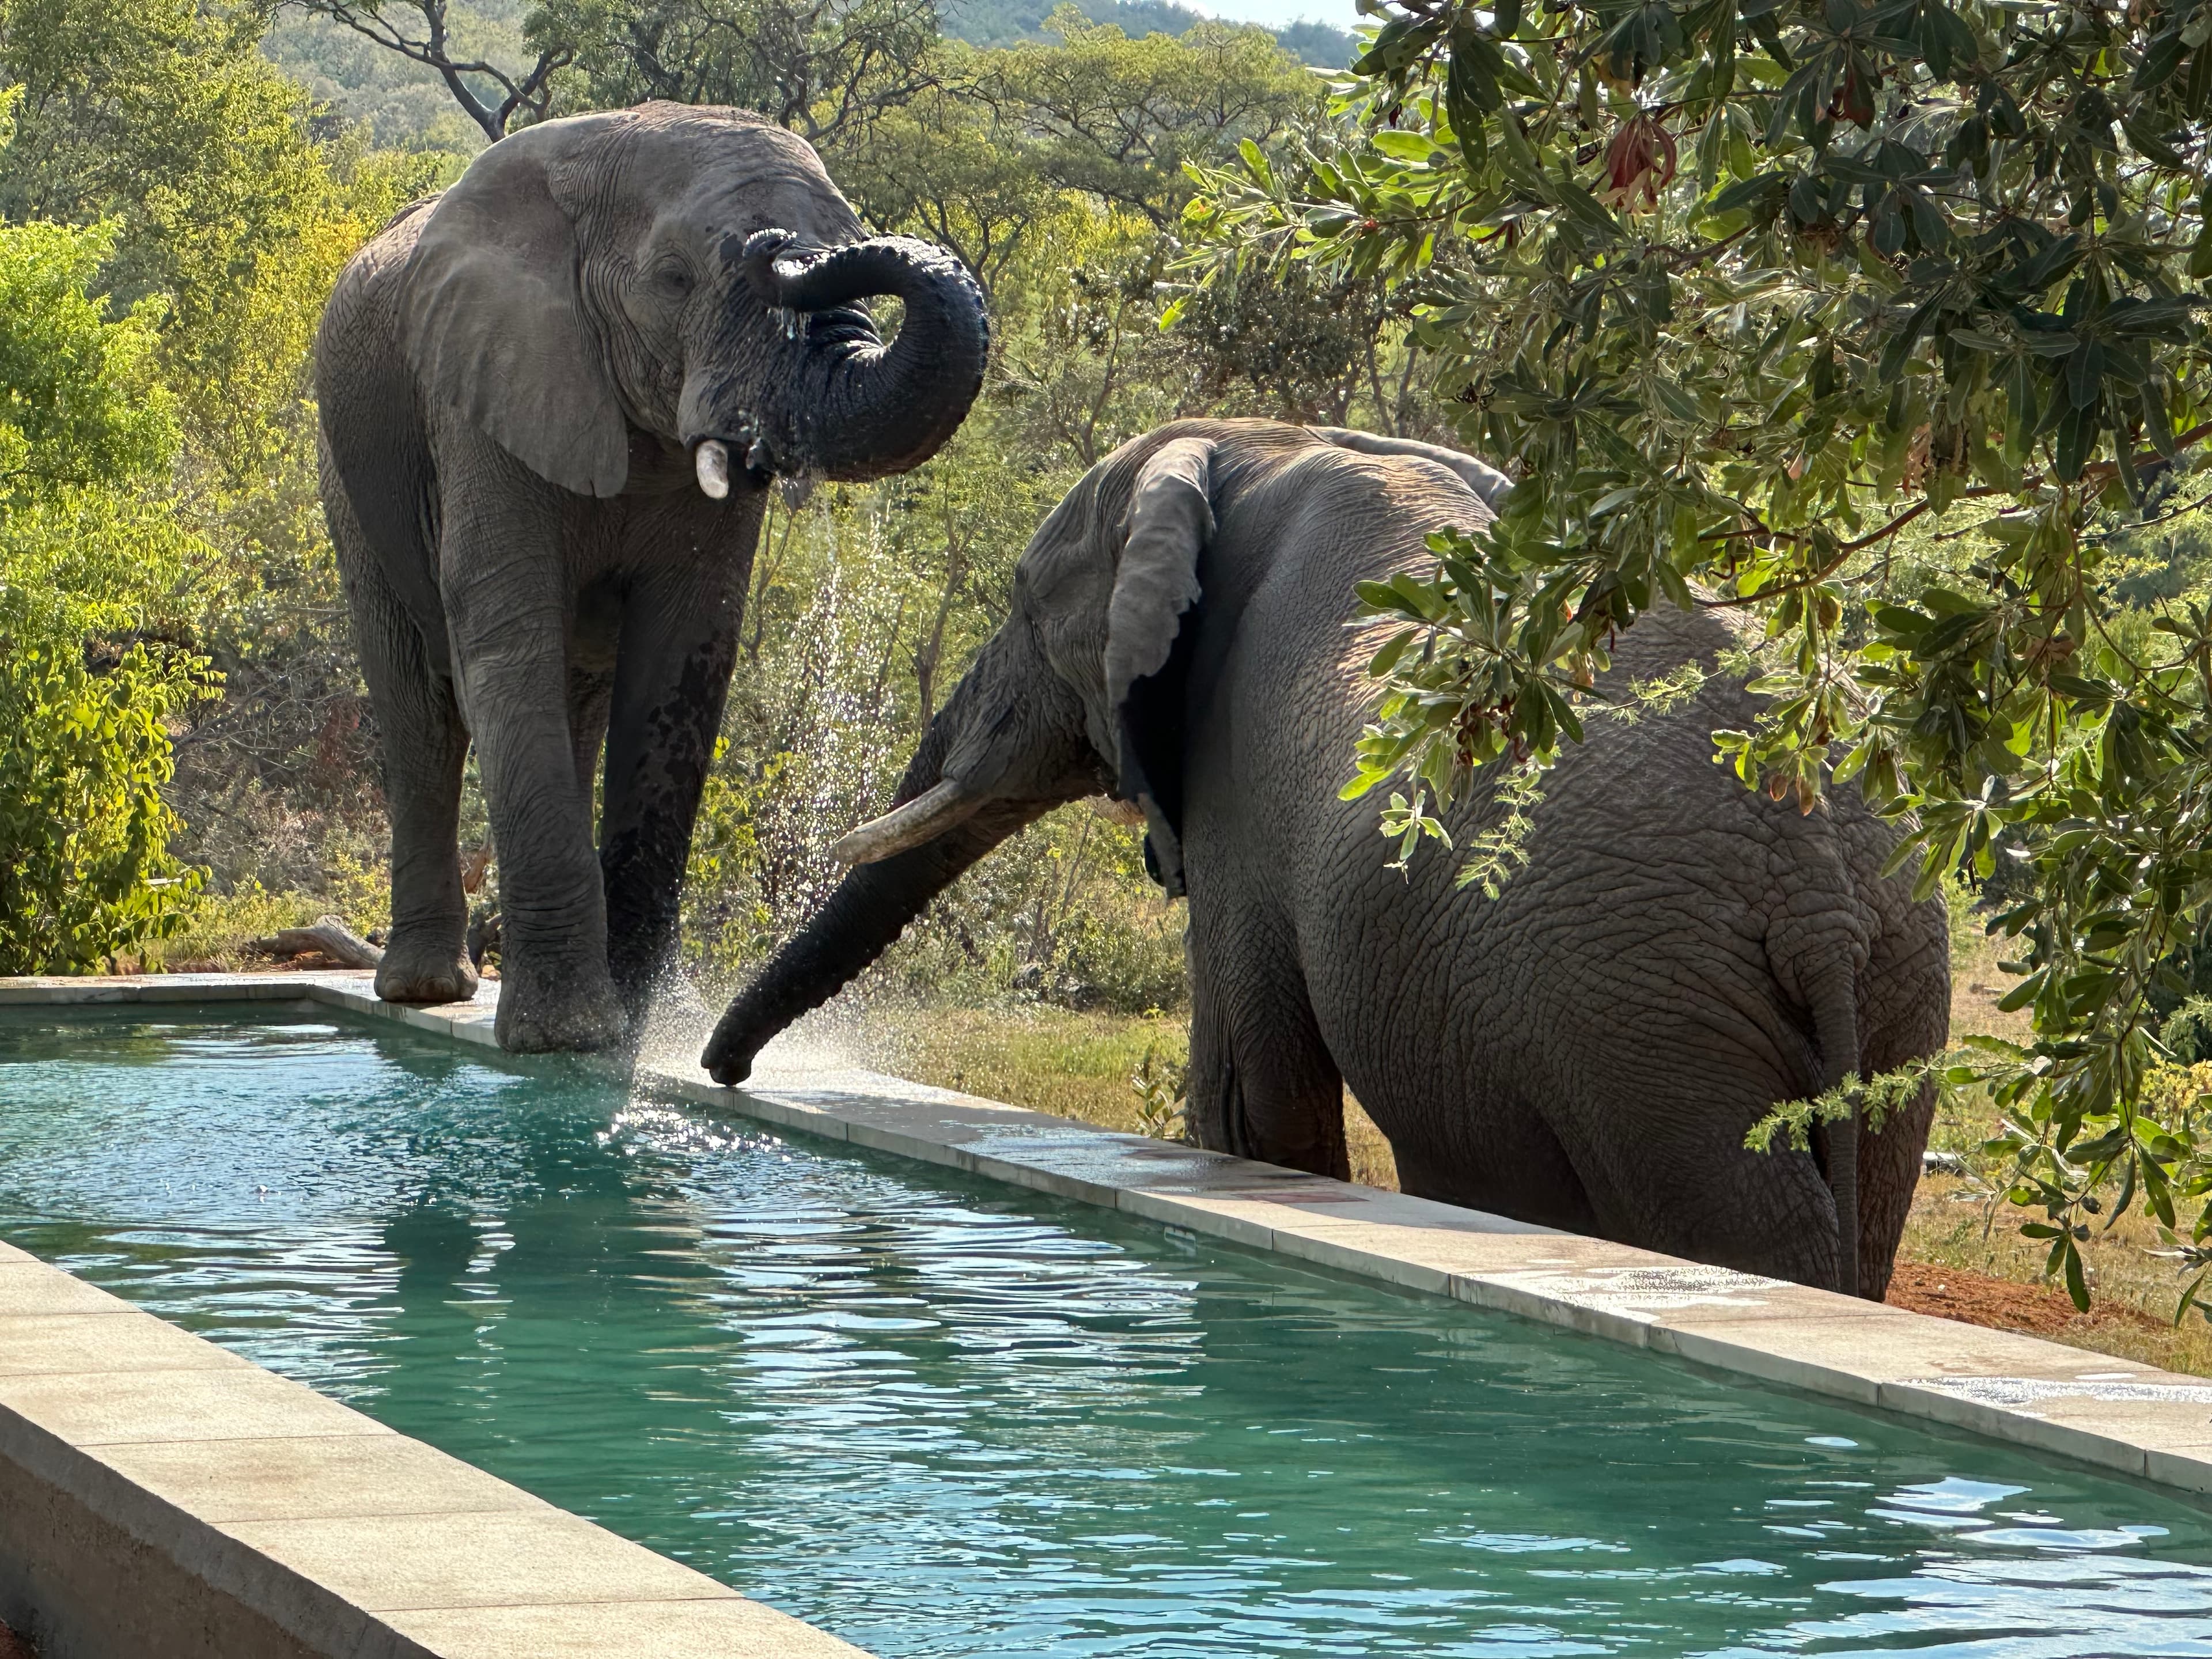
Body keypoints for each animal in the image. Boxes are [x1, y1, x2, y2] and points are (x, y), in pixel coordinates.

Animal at [316, 100, 988, 1053]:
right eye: (674, 278)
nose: (775, 244)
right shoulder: (479, 396)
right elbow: (505, 638)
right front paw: (566, 1040)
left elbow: (683, 656)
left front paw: (646, 1031)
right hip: (348, 475)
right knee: (419, 703)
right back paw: (425, 989)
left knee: (574, 697)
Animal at [700, 418, 1950, 1299]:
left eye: (1023, 606)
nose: (723, 1073)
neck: (1265, 440)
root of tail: (1816, 890)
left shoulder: (1238, 788)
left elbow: (1252, 1101)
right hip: (1892, 988)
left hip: (1641, 1013)